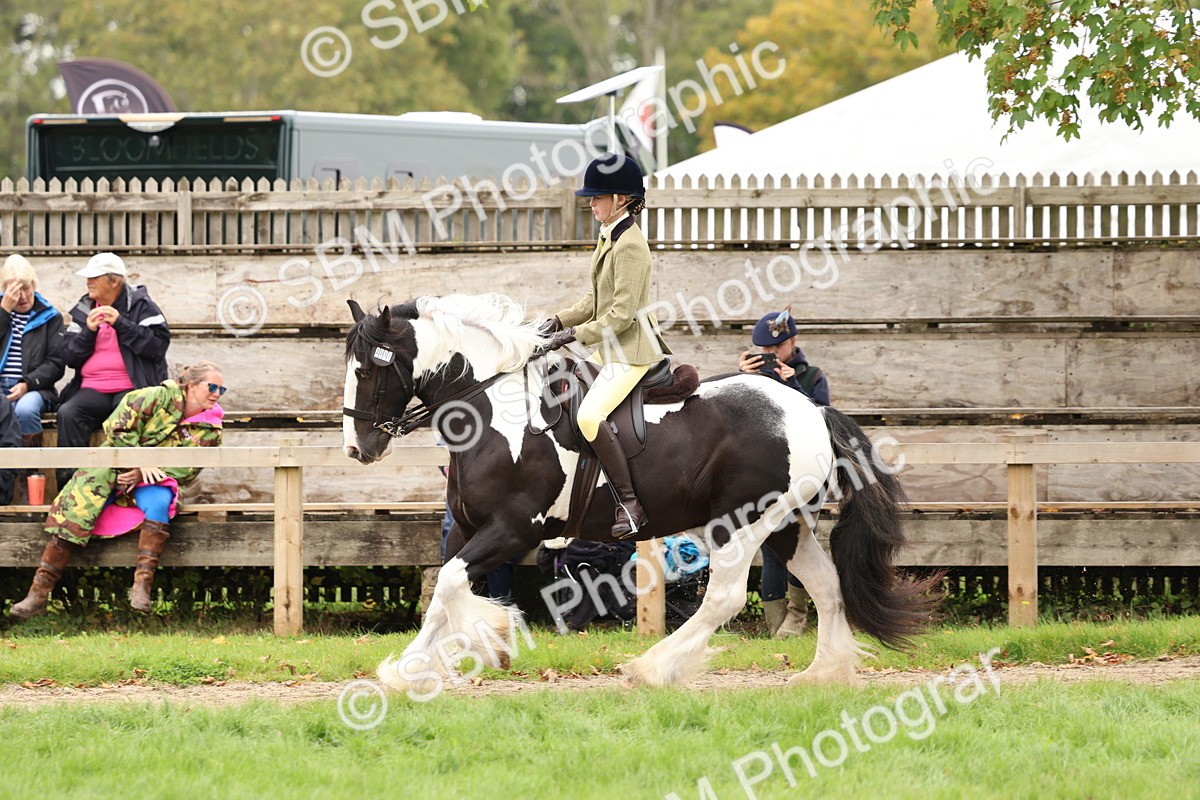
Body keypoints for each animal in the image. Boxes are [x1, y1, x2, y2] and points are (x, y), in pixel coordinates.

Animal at [342, 293, 940, 695]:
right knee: (826, 585)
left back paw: (652, 667)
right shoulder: (467, 528)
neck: (491, 411)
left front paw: (483, 640)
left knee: (723, 598)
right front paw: (411, 668)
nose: (358, 447)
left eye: (373, 368)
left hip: (739, 524)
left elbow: (448, 587)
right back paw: (825, 673)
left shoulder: (512, 529)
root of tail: (811, 409)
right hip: (785, 524)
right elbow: (444, 595)